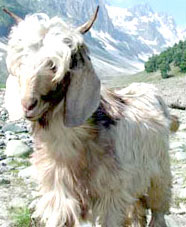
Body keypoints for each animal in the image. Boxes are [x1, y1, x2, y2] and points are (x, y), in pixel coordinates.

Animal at [4, 7, 177, 227]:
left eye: (56, 65)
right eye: (20, 61)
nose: (27, 105)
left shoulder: (112, 195)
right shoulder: (59, 195)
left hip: (159, 173)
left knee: (158, 208)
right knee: (138, 210)